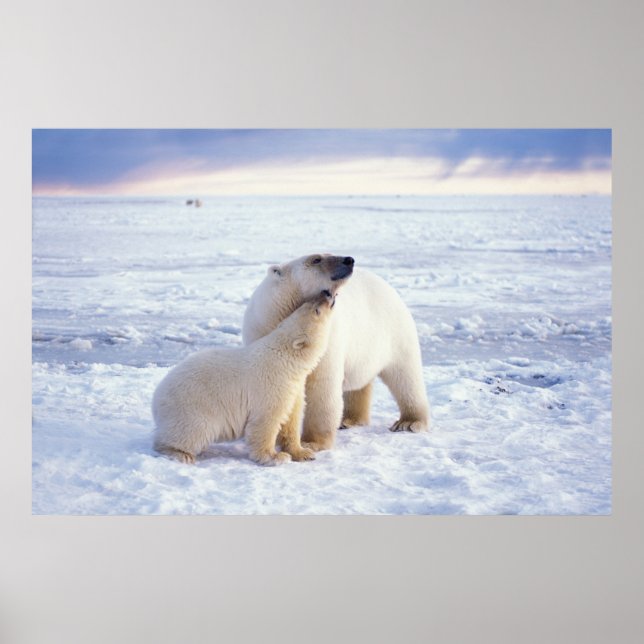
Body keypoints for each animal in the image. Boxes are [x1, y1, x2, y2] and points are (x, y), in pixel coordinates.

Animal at [152, 290, 337, 466]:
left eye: (306, 304)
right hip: (193, 408)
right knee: (194, 431)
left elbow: (291, 419)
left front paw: (304, 453)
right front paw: (275, 457)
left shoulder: (293, 388)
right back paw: (180, 454)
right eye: (316, 310)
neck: (285, 358)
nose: (327, 293)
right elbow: (266, 421)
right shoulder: (272, 385)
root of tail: (156, 399)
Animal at [242, 254, 430, 452]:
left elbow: (322, 386)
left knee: (405, 376)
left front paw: (312, 442)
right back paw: (350, 419)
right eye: (316, 259)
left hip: (395, 332)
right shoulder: (262, 331)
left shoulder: (327, 338)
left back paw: (408, 422)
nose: (349, 260)